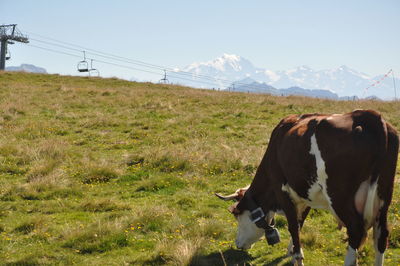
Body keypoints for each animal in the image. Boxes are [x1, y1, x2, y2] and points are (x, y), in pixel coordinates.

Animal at [217, 109, 398, 264]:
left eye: (236, 215)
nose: (238, 243)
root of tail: (370, 116)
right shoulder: (306, 194)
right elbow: (299, 223)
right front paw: (291, 251)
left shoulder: (282, 191)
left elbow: (293, 225)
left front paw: (297, 256)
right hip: (384, 199)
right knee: (381, 236)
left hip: (339, 198)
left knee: (355, 231)